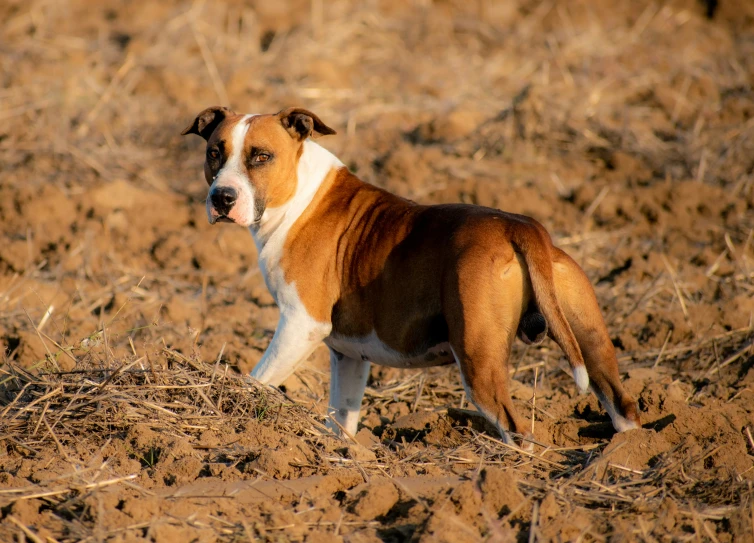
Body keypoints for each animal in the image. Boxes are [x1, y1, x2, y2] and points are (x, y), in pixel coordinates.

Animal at [181, 106, 636, 446]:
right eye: (214, 153)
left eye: (261, 156)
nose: (222, 198)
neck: (298, 196)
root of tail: (520, 227)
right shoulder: (348, 356)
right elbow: (340, 418)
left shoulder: (300, 326)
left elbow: (256, 380)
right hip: (592, 344)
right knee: (621, 405)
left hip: (479, 361)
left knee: (516, 429)